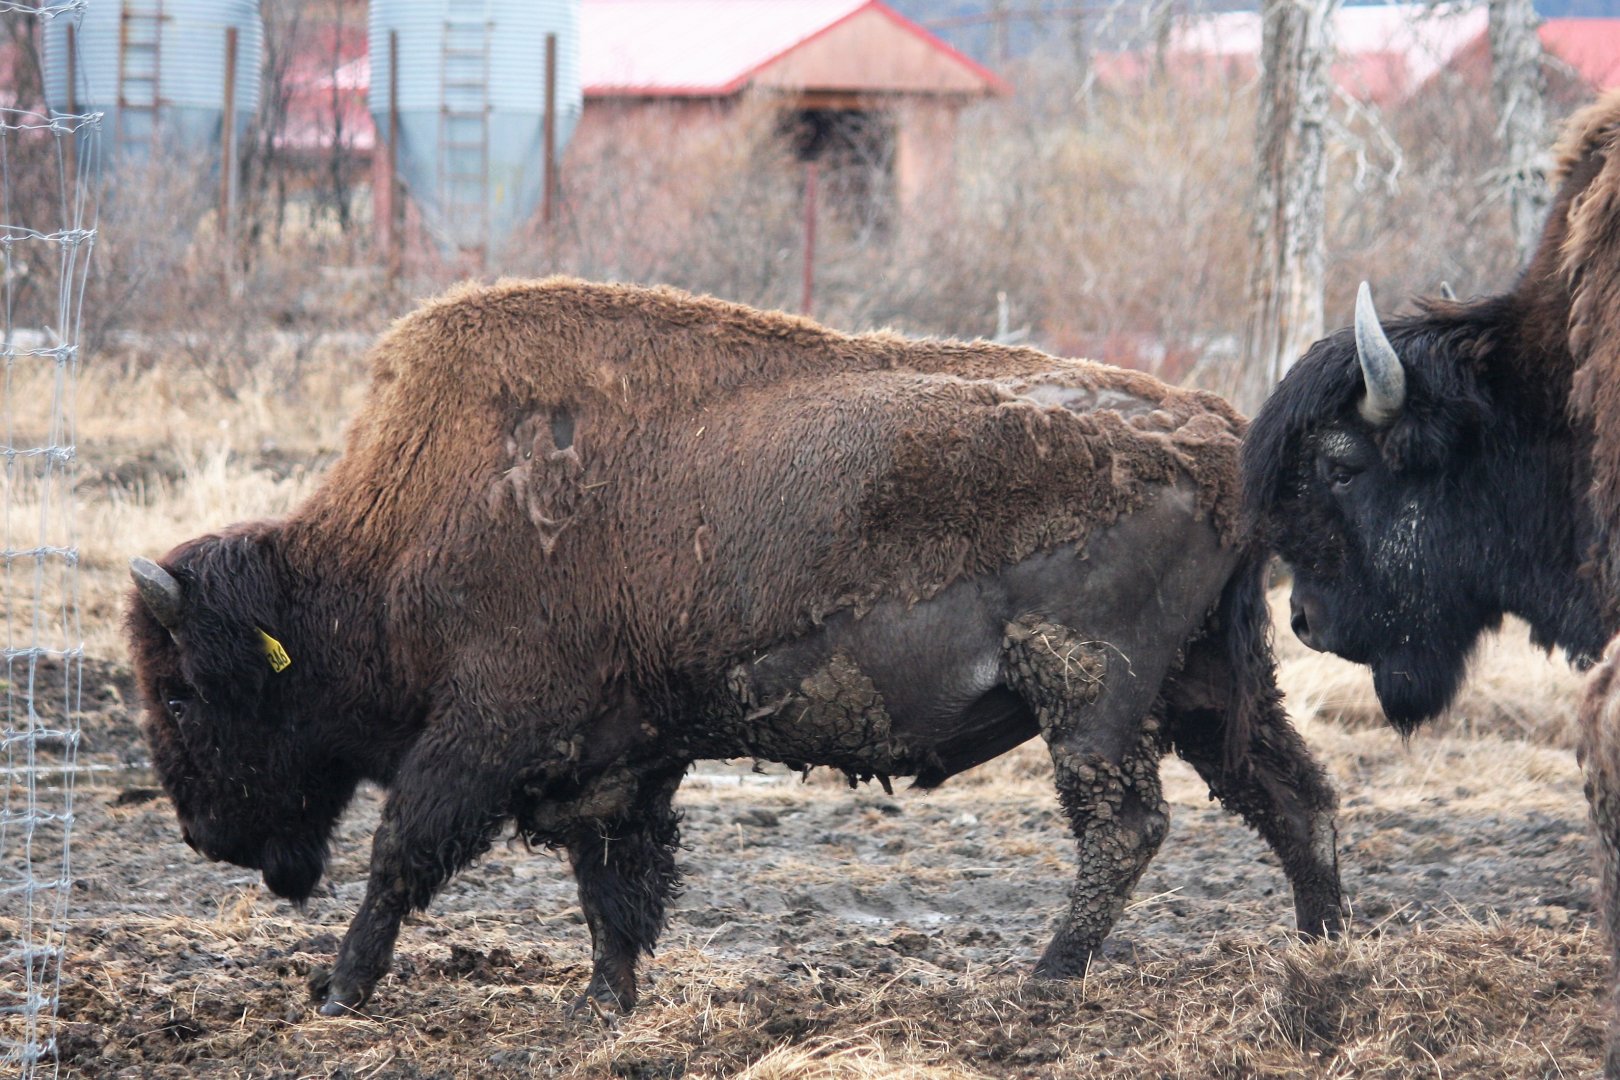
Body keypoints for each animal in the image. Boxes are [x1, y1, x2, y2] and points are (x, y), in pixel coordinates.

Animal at [128, 278, 1343, 1017]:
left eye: (184, 694)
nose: (201, 837)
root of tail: (1218, 428)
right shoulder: (621, 755)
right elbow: (615, 882)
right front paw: (604, 1003)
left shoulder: (484, 731)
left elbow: (401, 854)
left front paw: (338, 992)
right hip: (1205, 686)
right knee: (1294, 799)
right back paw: (1324, 954)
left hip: (1092, 694)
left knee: (1125, 826)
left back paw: (1044, 982)